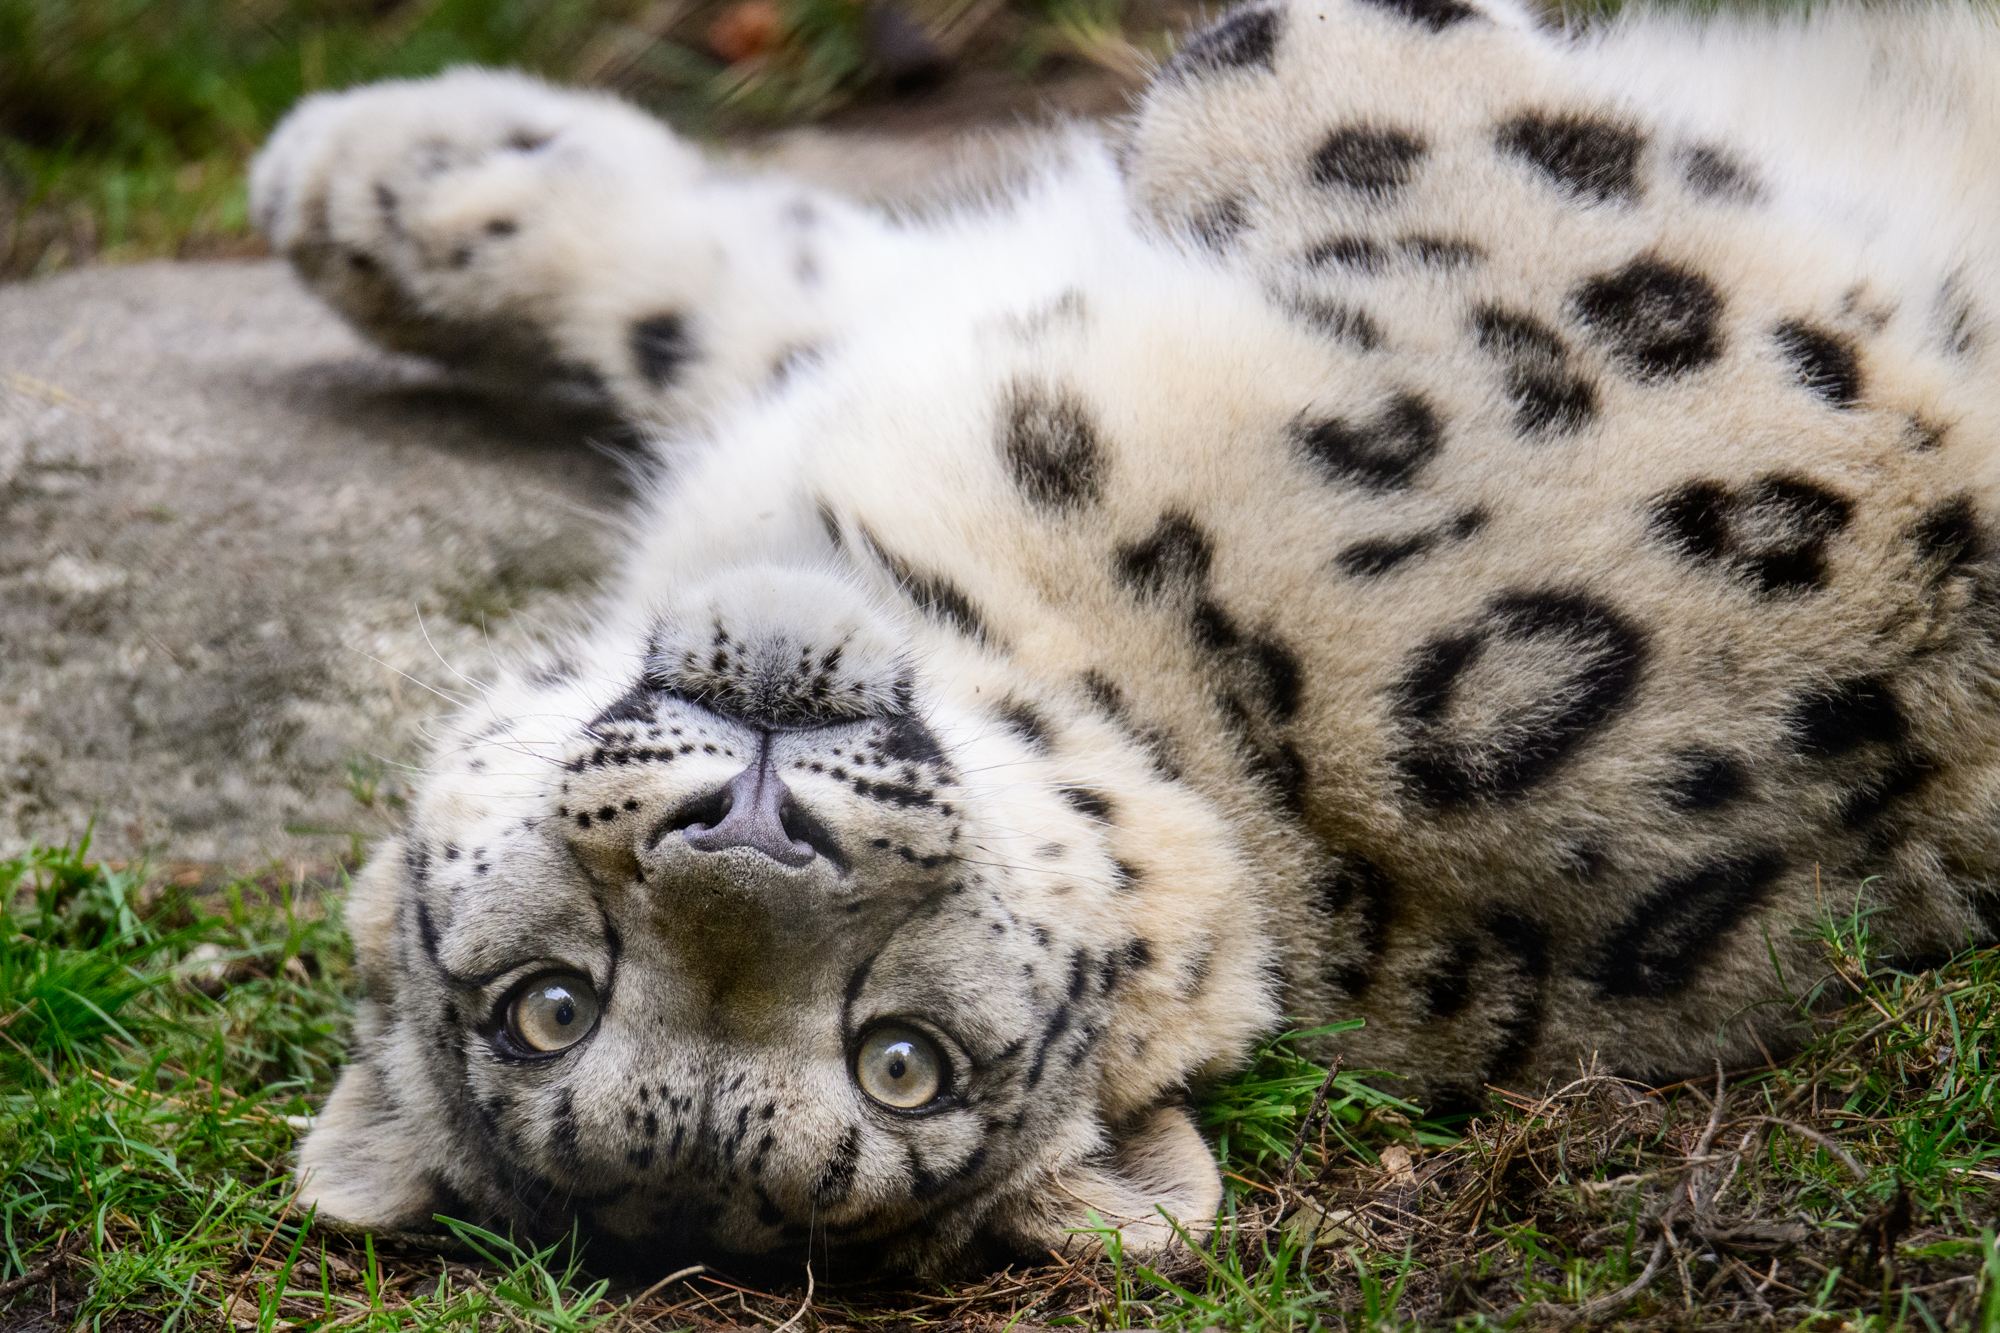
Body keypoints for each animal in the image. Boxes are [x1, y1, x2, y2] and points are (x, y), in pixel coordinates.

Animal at [250, 0, 2000, 1277]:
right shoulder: (1809, 416)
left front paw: (376, 175)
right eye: (551, 1011)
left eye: (899, 1059)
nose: (750, 832)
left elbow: (743, 293)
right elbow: (1315, 88)